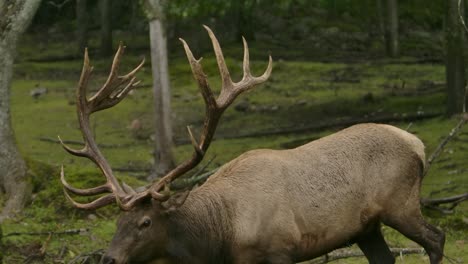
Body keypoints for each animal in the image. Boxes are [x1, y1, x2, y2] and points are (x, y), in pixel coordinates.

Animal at [60, 25, 444, 264]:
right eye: (117, 222)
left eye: (145, 223)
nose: (109, 258)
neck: (221, 237)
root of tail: (418, 145)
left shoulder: (281, 249)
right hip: (367, 227)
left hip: (400, 204)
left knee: (436, 238)